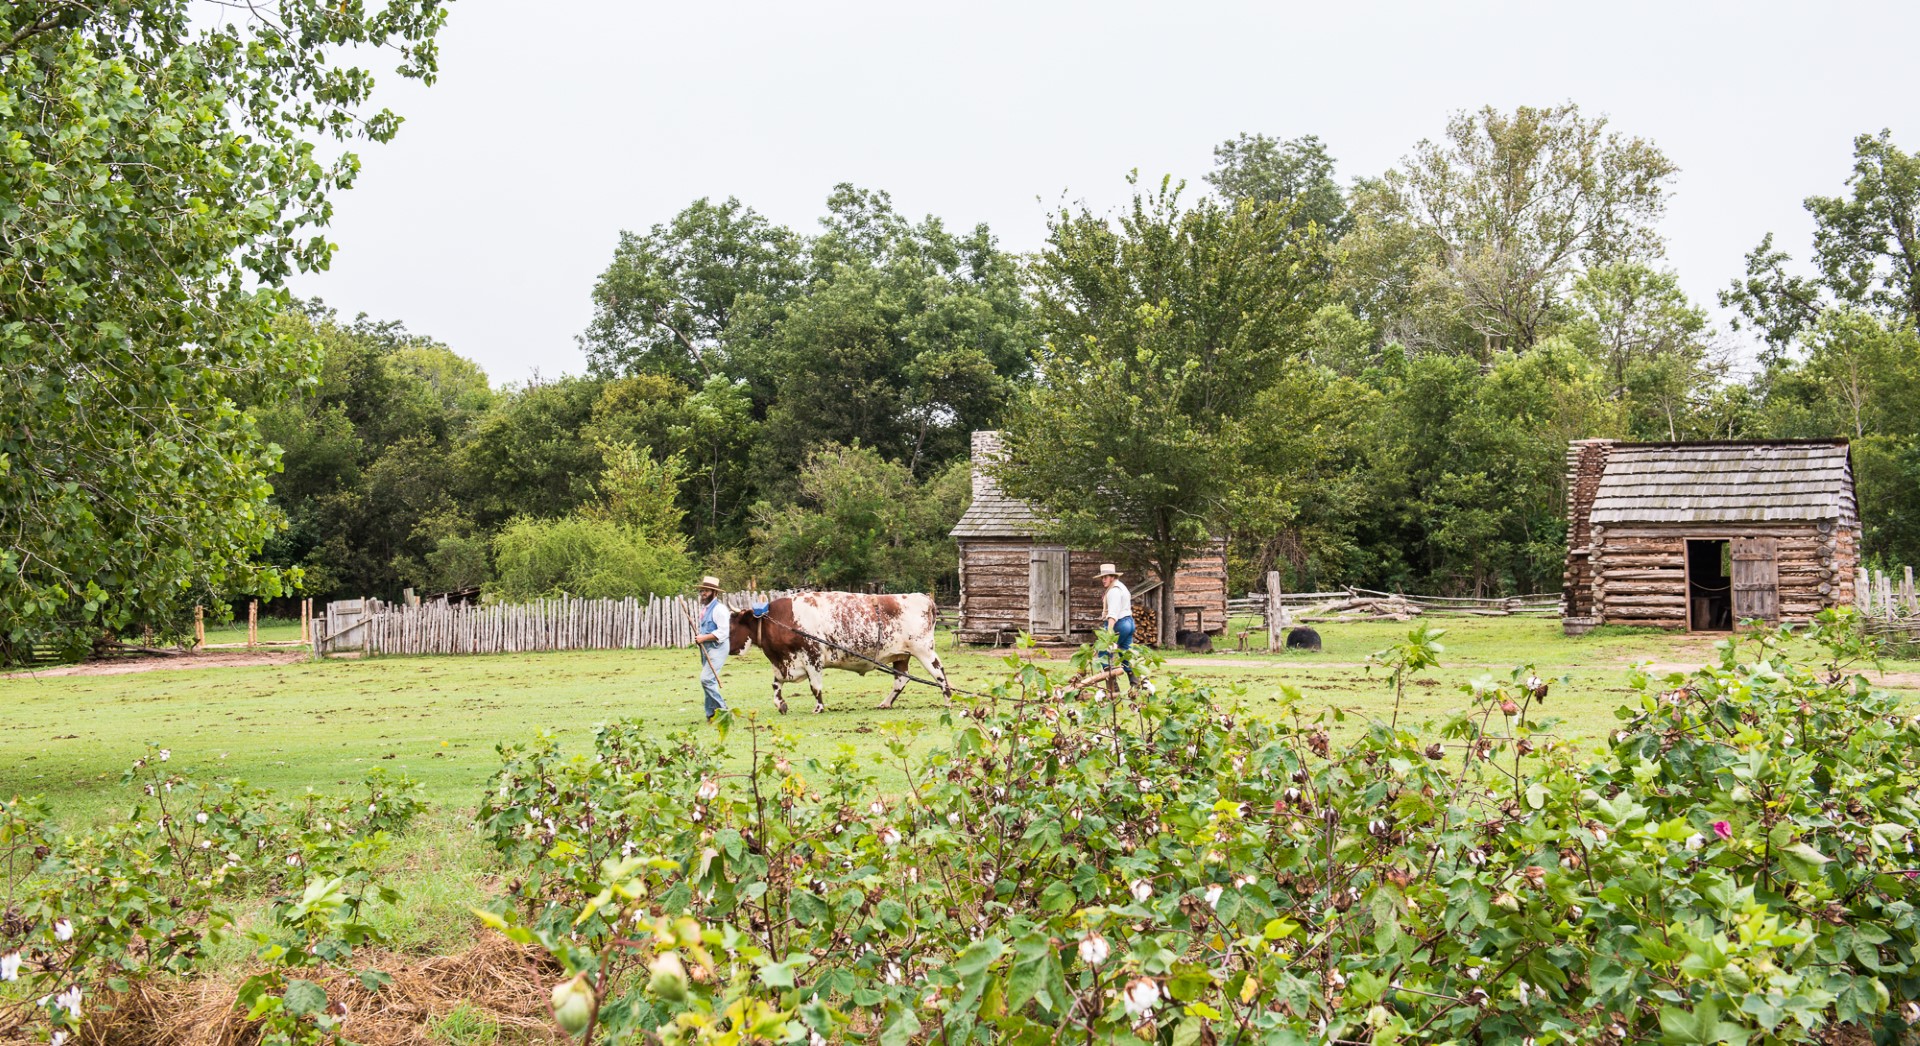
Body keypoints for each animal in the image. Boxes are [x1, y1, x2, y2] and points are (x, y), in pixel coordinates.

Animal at [725, 591, 952, 713]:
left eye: (731, 627)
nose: (722, 645)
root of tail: (924, 598)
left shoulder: (813, 658)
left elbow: (815, 687)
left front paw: (818, 708)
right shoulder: (785, 664)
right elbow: (775, 685)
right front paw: (781, 705)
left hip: (924, 651)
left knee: (940, 674)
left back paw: (948, 700)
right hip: (901, 655)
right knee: (901, 678)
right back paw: (885, 703)